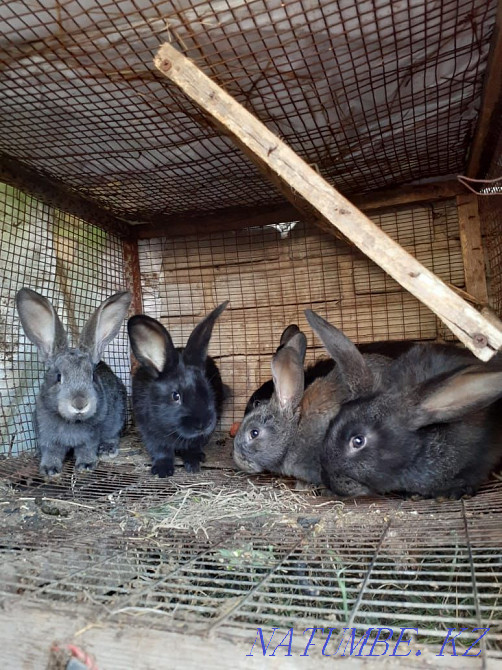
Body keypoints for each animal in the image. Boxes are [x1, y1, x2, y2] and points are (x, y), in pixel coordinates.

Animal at [16, 288, 131, 477]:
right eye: (58, 376)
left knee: (113, 435)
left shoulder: (90, 437)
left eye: (92, 376)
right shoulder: (46, 437)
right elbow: (51, 452)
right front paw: (49, 469)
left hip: (118, 416)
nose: (79, 404)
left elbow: (86, 449)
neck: (71, 421)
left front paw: (86, 465)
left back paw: (107, 449)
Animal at [127, 301, 228, 477]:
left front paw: (193, 464)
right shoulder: (150, 433)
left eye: (207, 389)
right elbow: (161, 451)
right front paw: (162, 470)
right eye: (176, 396)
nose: (203, 424)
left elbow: (192, 447)